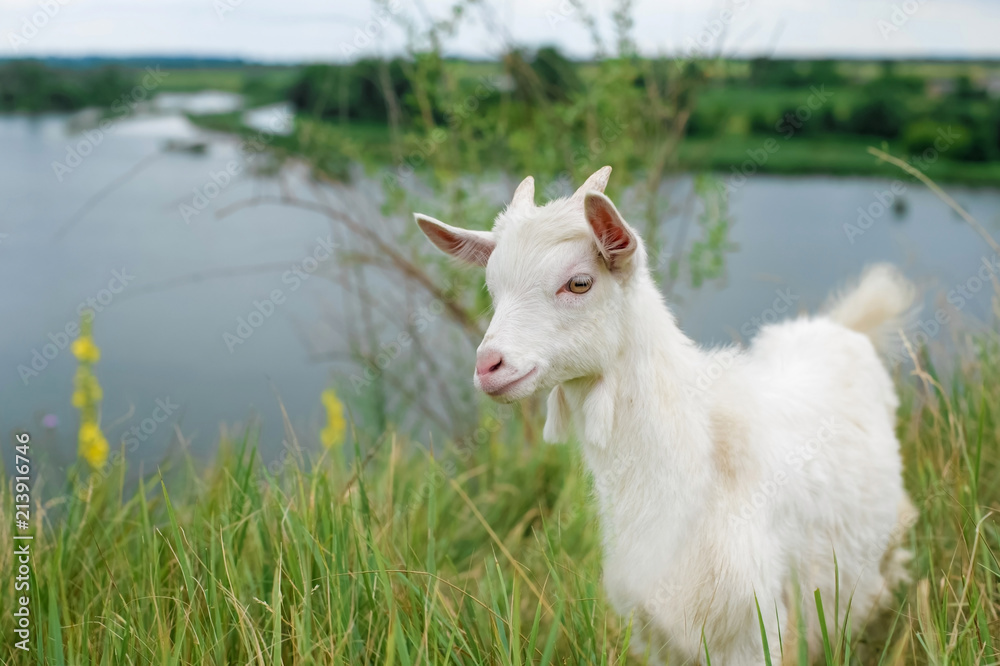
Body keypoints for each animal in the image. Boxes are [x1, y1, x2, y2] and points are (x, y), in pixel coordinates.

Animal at [415, 166, 916, 665]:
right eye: (492, 288)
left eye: (579, 283)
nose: (488, 366)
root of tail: (842, 326)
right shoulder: (658, 627)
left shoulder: (755, 623)